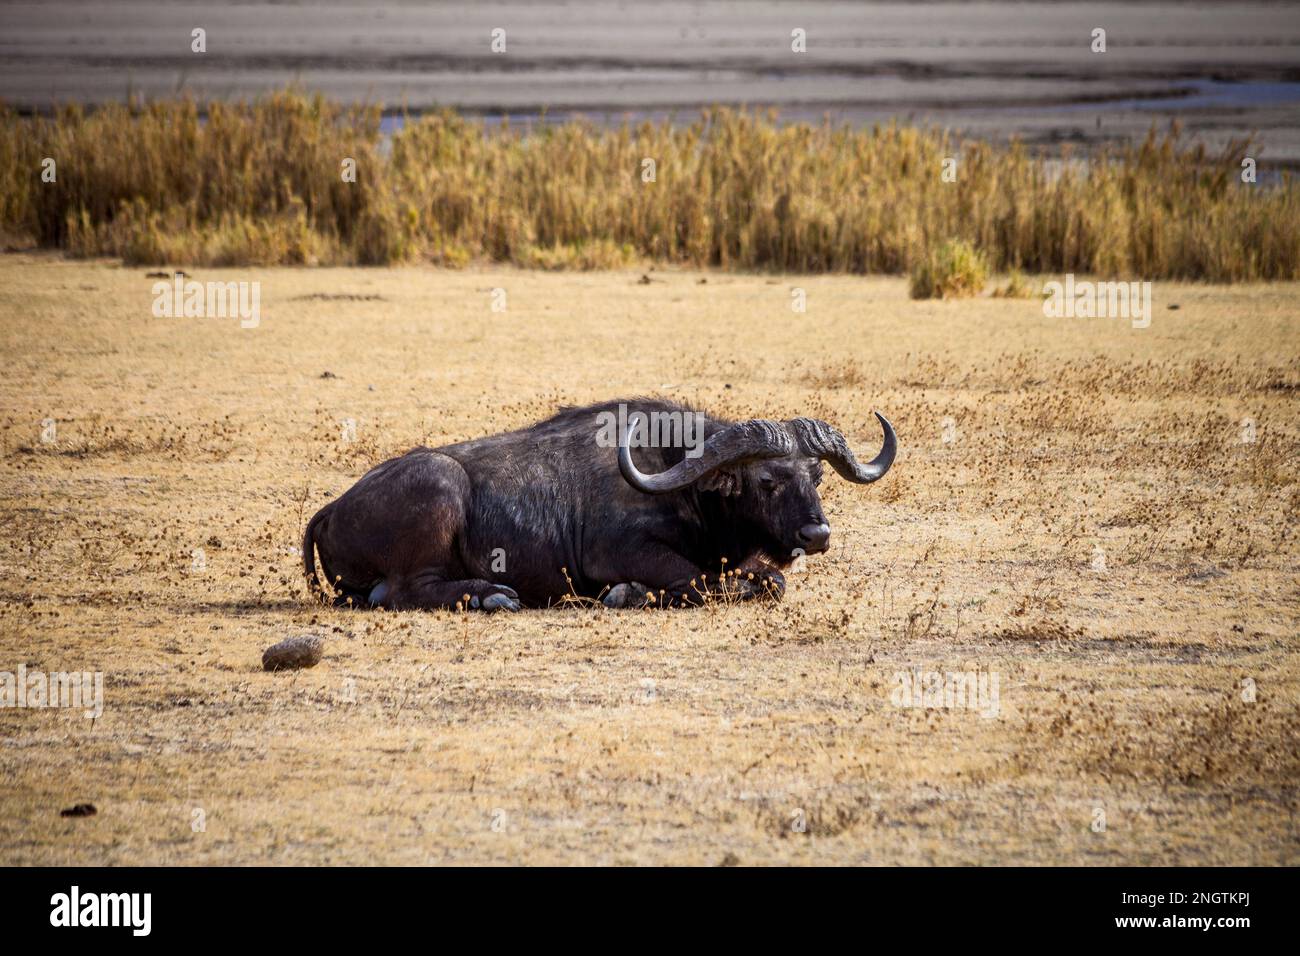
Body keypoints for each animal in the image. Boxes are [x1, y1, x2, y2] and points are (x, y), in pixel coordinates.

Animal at [302, 398, 894, 613]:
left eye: (816, 475)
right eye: (768, 480)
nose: (817, 535)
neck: (683, 483)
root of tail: (334, 507)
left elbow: (766, 580)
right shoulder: (624, 554)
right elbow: (709, 582)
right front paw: (628, 593)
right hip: (440, 484)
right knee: (401, 593)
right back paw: (492, 595)